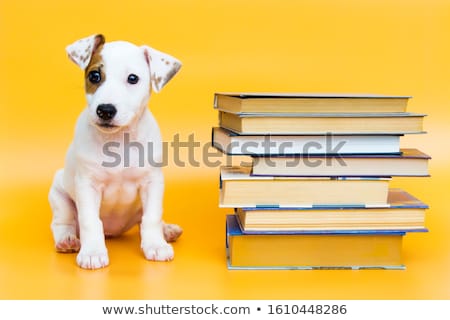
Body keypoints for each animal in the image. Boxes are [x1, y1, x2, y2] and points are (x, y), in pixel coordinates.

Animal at [48, 33, 182, 270]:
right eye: (94, 76)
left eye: (132, 78)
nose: (105, 110)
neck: (118, 140)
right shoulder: (87, 185)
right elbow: (90, 221)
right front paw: (92, 252)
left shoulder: (152, 182)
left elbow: (152, 217)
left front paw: (156, 245)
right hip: (58, 194)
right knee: (63, 222)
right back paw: (67, 240)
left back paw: (166, 230)